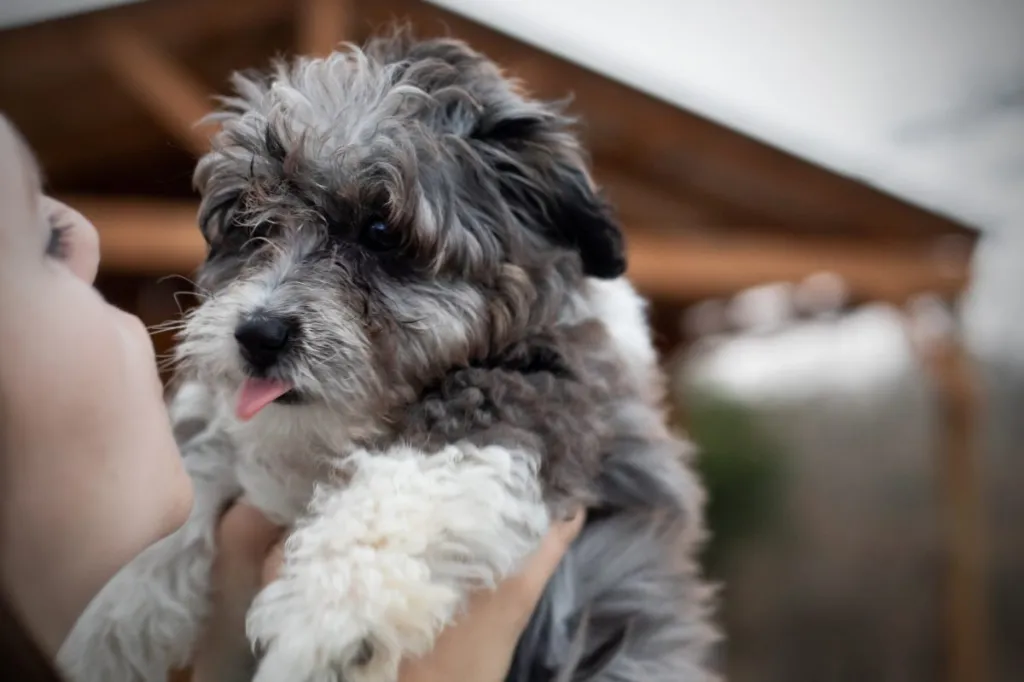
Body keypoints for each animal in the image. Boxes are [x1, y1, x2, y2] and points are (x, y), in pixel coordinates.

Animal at [58, 31, 720, 679]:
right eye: (250, 223)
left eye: (380, 232)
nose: (257, 335)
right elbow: (197, 450)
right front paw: (118, 612)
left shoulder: (547, 391)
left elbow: (424, 470)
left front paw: (329, 607)